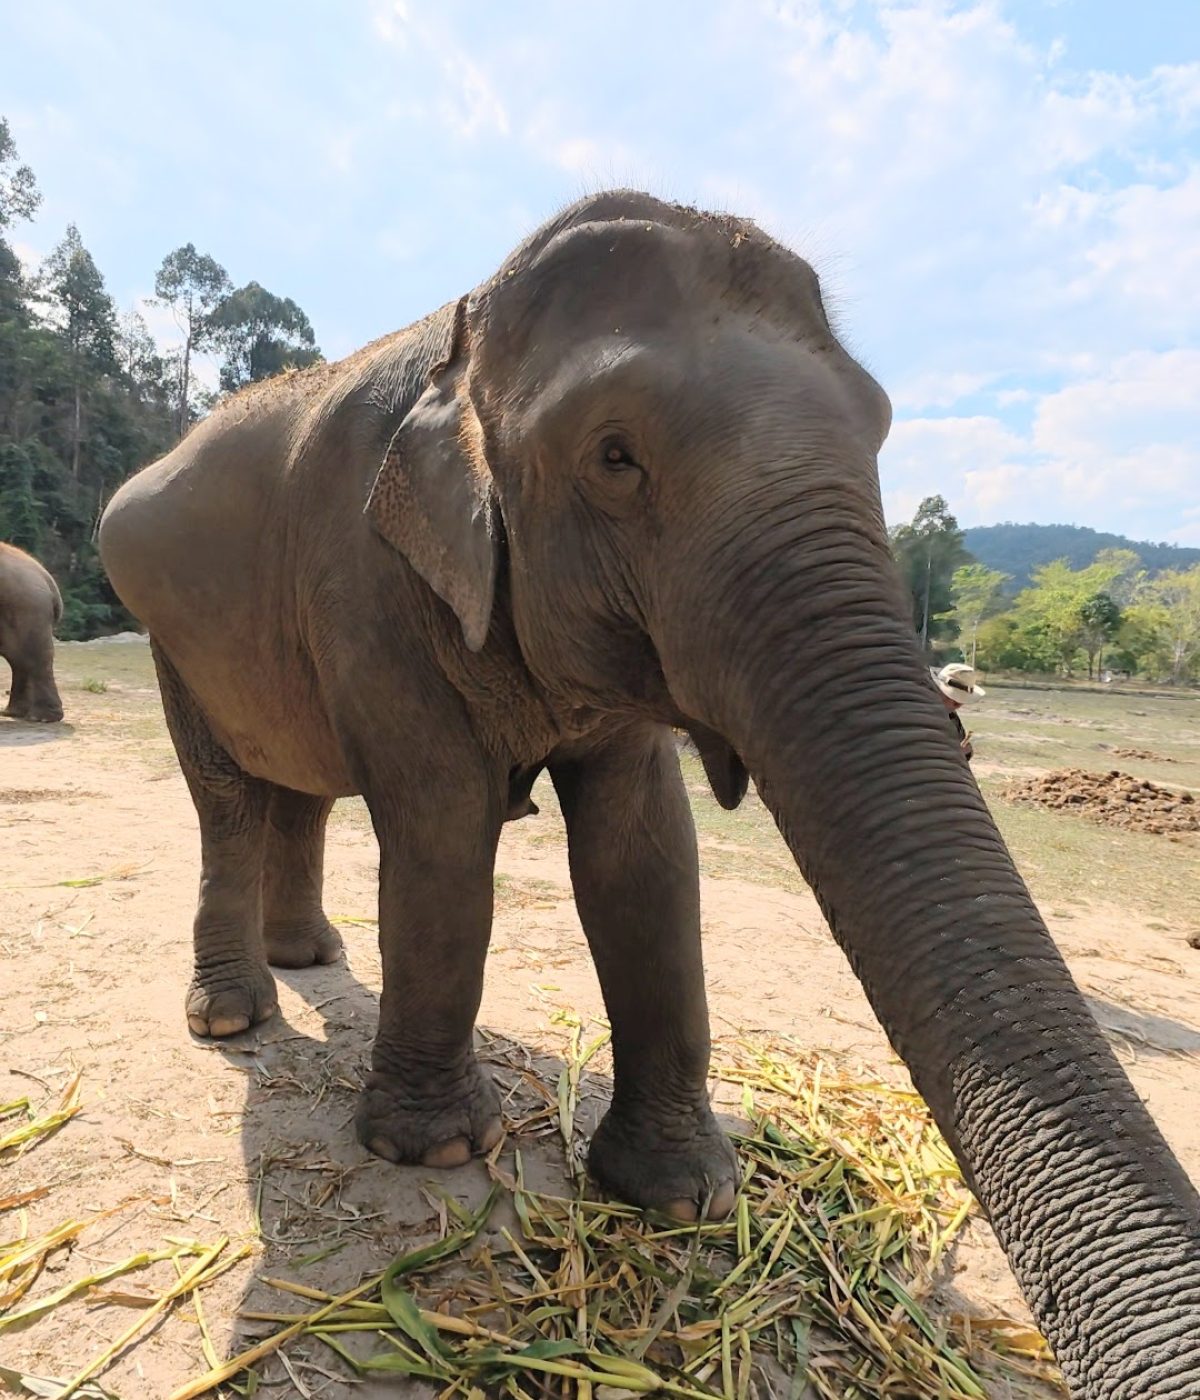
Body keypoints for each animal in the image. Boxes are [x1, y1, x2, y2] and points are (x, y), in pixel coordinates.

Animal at [97, 191, 1200, 1397]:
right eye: (614, 455)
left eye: (877, 428)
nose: (956, 710)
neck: (466, 331)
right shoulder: (371, 578)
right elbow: (441, 824)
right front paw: (436, 1150)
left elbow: (645, 849)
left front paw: (682, 1196)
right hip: (170, 635)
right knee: (229, 800)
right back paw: (234, 1012)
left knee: (301, 786)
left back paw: (313, 959)